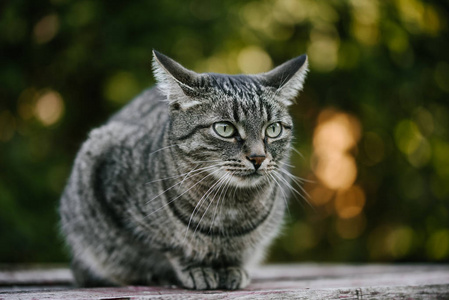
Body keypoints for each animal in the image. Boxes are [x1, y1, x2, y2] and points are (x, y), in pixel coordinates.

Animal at [58, 50, 308, 290]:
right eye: (224, 129)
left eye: (273, 129)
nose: (258, 157)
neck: (229, 210)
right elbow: (171, 246)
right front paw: (197, 269)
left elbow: (240, 252)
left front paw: (232, 268)